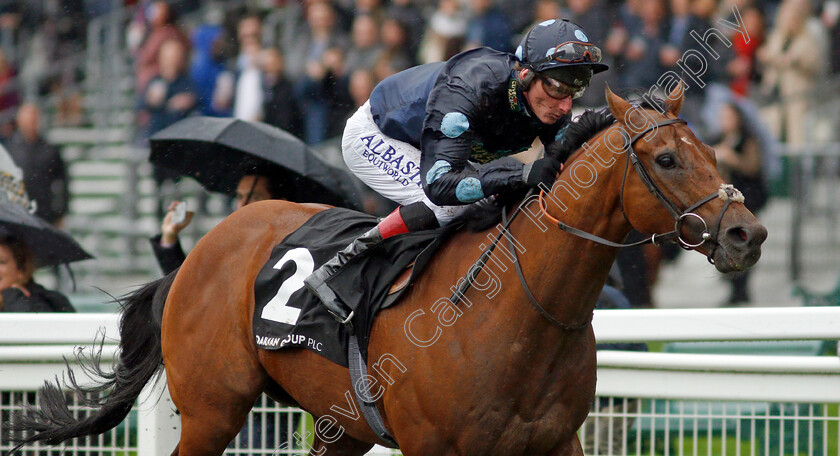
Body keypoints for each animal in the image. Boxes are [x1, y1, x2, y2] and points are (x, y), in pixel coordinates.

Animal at [8, 86, 768, 456]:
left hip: (336, 424)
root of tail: (198, 253)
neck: (518, 315)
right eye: (667, 158)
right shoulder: (436, 448)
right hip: (211, 409)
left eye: (713, 150)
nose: (748, 233)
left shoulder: (556, 443)